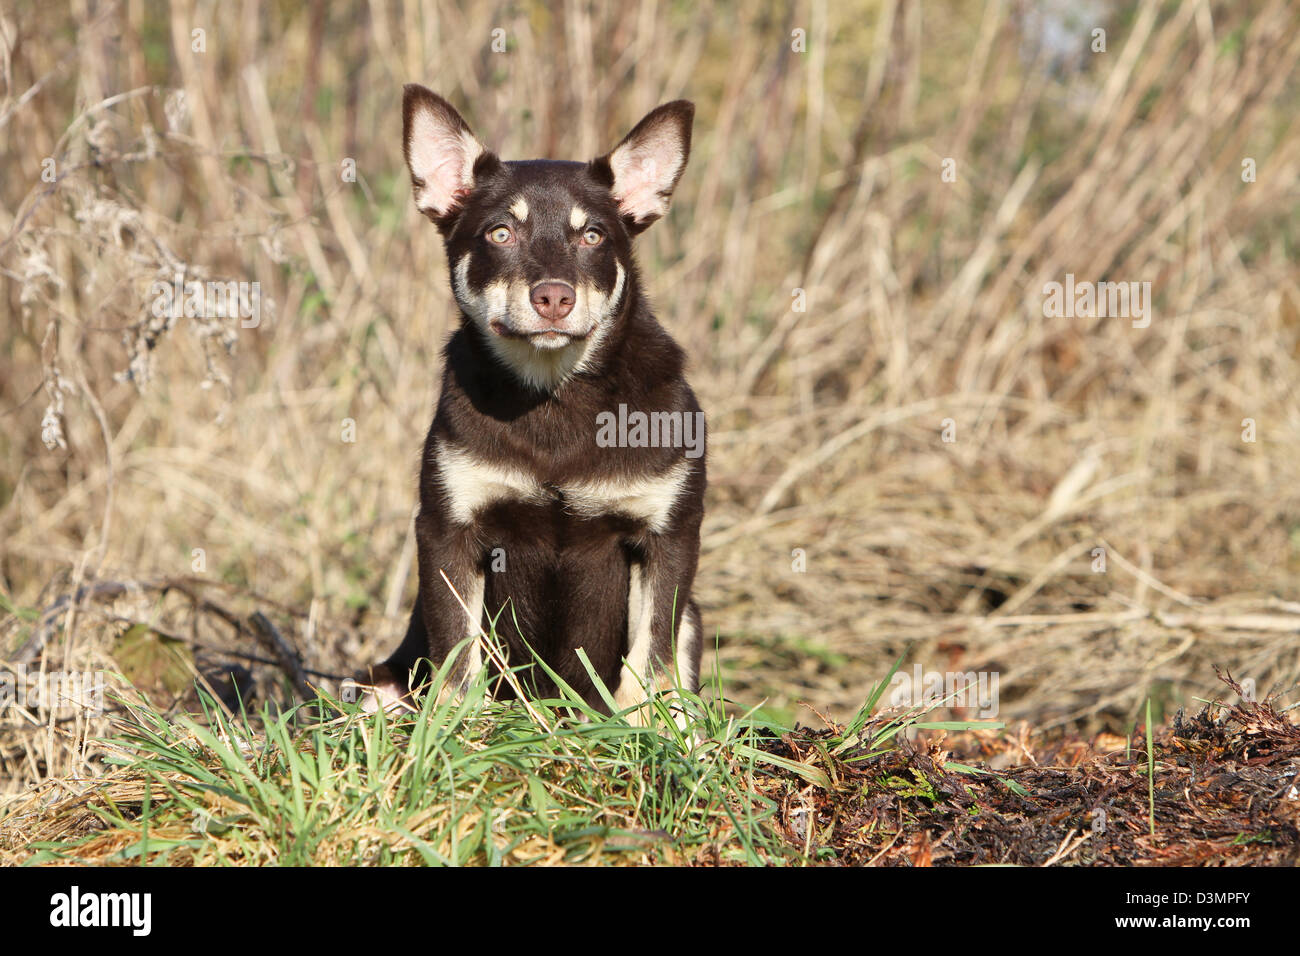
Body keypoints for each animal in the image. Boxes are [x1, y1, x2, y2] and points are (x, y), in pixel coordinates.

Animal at [356, 85, 707, 723]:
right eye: (501, 233)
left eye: (593, 236)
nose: (553, 298)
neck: (553, 397)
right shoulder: (448, 530)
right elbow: (457, 652)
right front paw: (455, 725)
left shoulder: (668, 537)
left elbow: (652, 661)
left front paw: (649, 728)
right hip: (375, 683)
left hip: (693, 613)